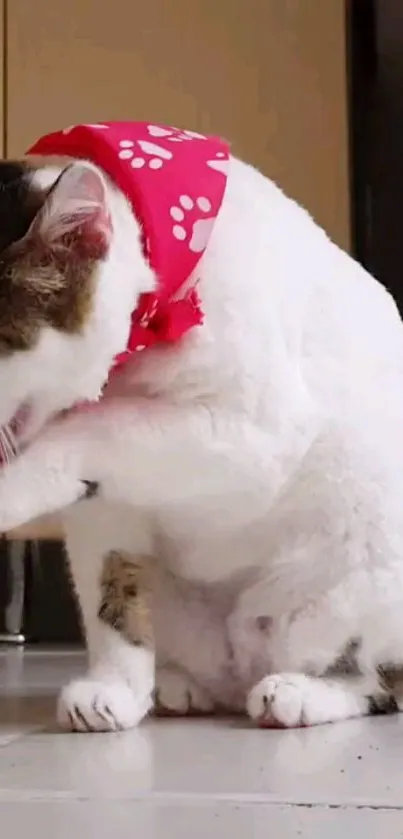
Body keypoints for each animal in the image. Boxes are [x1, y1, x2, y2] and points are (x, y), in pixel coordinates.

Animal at [0, 120, 403, 736]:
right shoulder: (106, 504)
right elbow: (112, 592)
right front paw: (115, 688)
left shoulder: (255, 433)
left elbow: (91, 429)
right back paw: (176, 686)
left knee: (380, 677)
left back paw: (302, 692)